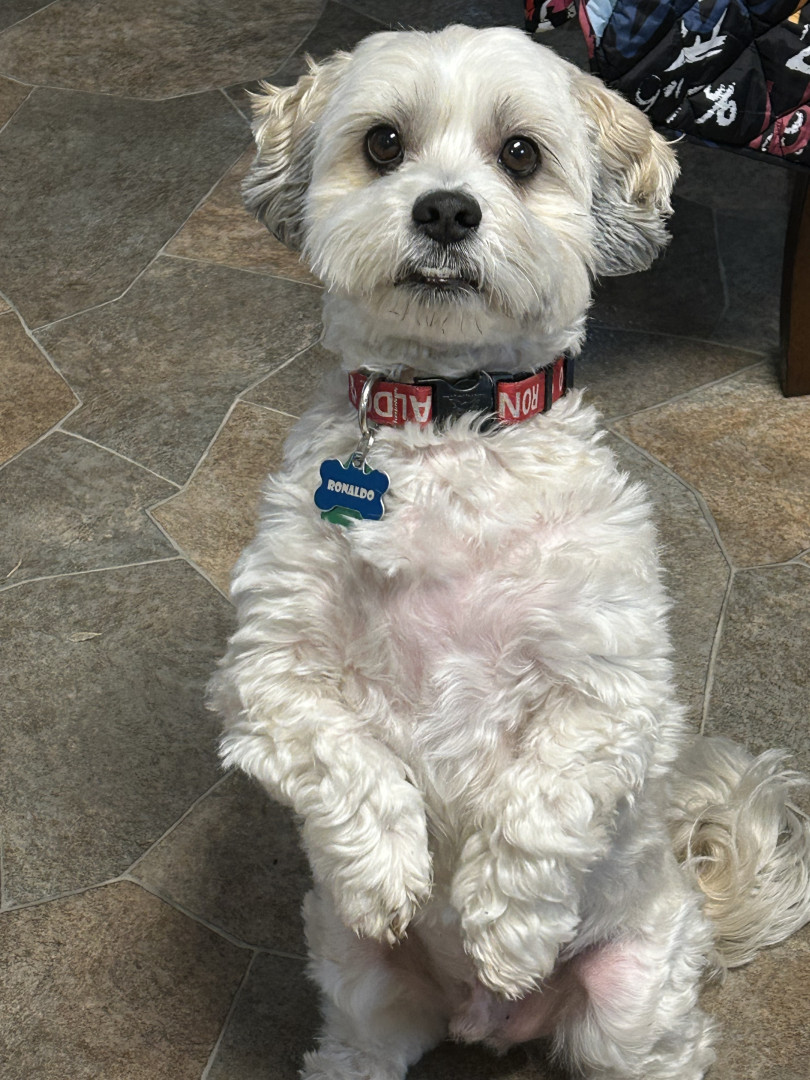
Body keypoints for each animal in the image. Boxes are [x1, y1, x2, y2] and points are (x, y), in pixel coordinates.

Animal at [210, 25, 810, 1080]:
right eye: (383, 144)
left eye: (521, 155)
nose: (447, 209)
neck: (455, 425)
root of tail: (481, 1024)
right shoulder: (266, 674)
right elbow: (343, 755)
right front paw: (385, 872)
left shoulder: (614, 690)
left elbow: (543, 798)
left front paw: (506, 928)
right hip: (362, 986)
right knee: (359, 1044)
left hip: (628, 1000)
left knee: (660, 1042)